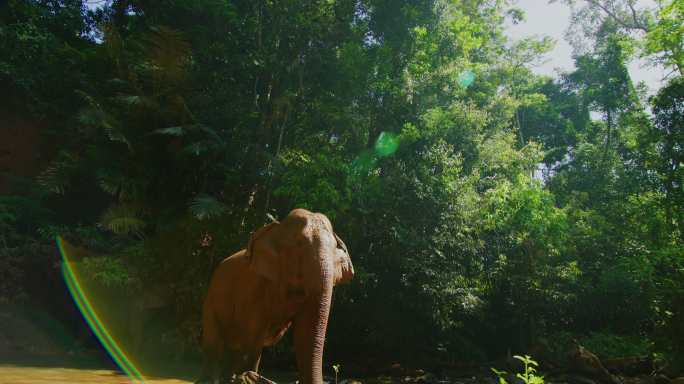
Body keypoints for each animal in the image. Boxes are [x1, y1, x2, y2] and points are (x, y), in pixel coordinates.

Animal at [194, 208, 350, 384]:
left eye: (335, 250)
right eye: (299, 244)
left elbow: (303, 330)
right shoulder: (253, 285)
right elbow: (255, 331)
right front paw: (248, 376)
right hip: (211, 301)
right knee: (215, 344)